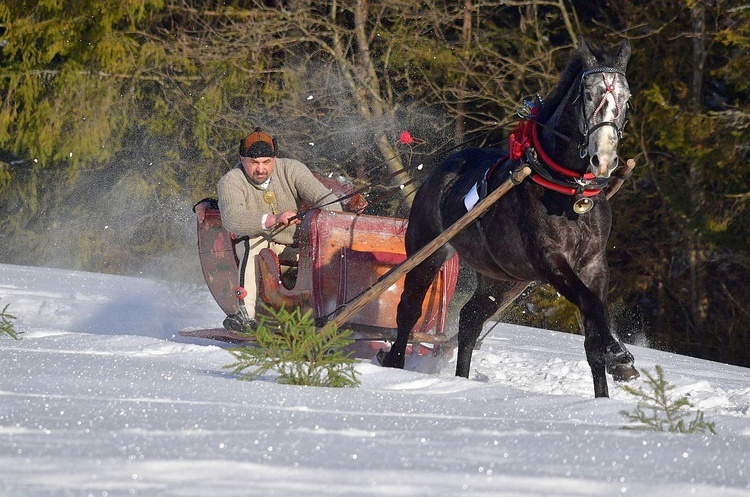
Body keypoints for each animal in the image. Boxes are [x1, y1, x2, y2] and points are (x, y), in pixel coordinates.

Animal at [388, 36, 640, 398]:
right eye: (588, 94)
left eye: (627, 98)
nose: (604, 158)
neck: (569, 192)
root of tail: (441, 170)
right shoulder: (549, 260)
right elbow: (592, 305)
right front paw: (618, 354)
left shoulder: (593, 264)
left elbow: (593, 335)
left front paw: (606, 386)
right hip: (428, 253)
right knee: (409, 311)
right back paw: (394, 365)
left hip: (503, 277)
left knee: (470, 319)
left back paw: (461, 379)